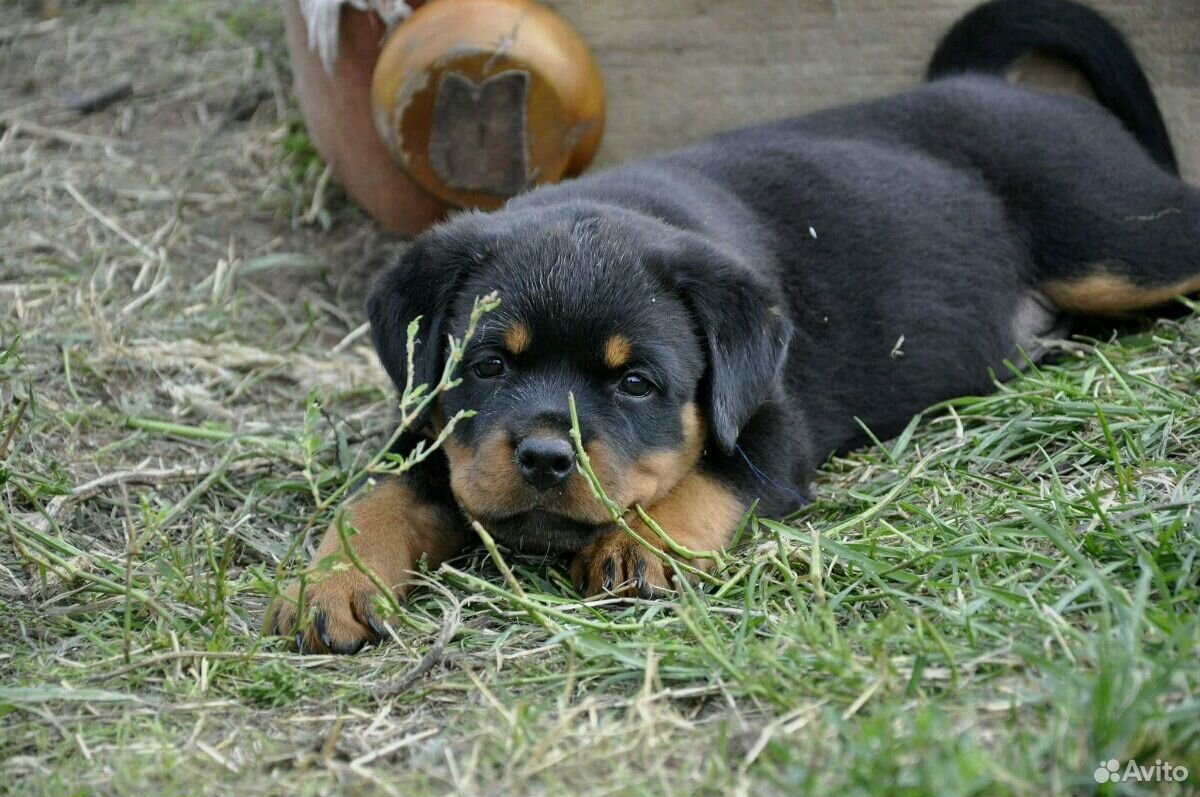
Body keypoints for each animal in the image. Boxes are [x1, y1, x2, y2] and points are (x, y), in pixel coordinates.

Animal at [270, 0, 1200, 652]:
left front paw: (638, 546)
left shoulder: (774, 422)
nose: (543, 457)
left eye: (637, 383)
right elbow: (377, 498)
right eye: (490, 366)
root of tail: (992, 87)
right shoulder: (431, 430)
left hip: (1117, 239)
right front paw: (333, 584)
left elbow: (708, 478)